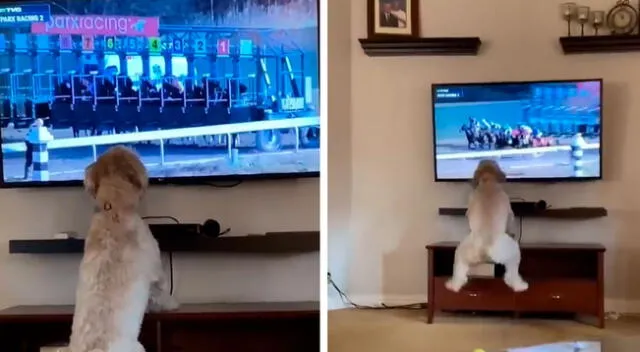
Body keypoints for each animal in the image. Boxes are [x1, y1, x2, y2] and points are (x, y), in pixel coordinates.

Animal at [444, 160, 528, 292]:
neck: (488, 179)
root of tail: (484, 250)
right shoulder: (508, 207)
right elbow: (510, 219)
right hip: (513, 251)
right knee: (512, 272)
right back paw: (520, 286)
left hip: (461, 254)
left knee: (459, 271)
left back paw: (453, 285)